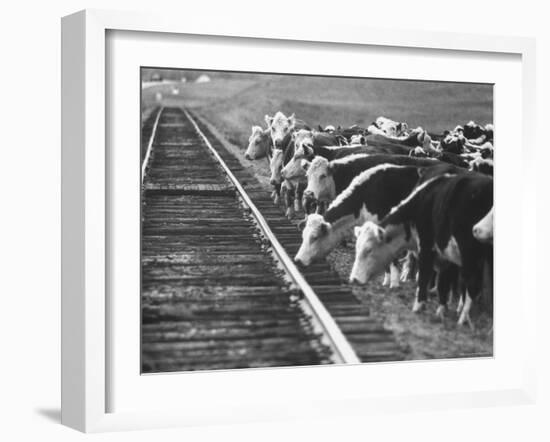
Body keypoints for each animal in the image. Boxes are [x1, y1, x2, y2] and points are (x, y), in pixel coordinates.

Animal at [350, 173, 496, 328]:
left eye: (369, 250)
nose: (353, 279)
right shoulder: (446, 256)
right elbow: (443, 283)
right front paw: (441, 310)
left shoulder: (426, 247)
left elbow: (424, 276)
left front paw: (418, 306)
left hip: (469, 254)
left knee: (473, 284)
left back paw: (463, 318)